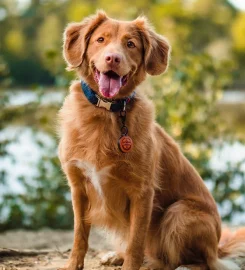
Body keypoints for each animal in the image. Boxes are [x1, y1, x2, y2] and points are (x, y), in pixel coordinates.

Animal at [58, 11, 245, 270]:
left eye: (130, 44)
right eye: (100, 39)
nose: (112, 58)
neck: (106, 113)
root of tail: (217, 247)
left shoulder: (142, 191)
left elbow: (136, 241)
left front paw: (130, 264)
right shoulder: (78, 187)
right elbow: (79, 235)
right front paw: (73, 264)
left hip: (179, 213)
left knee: (192, 261)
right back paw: (116, 255)